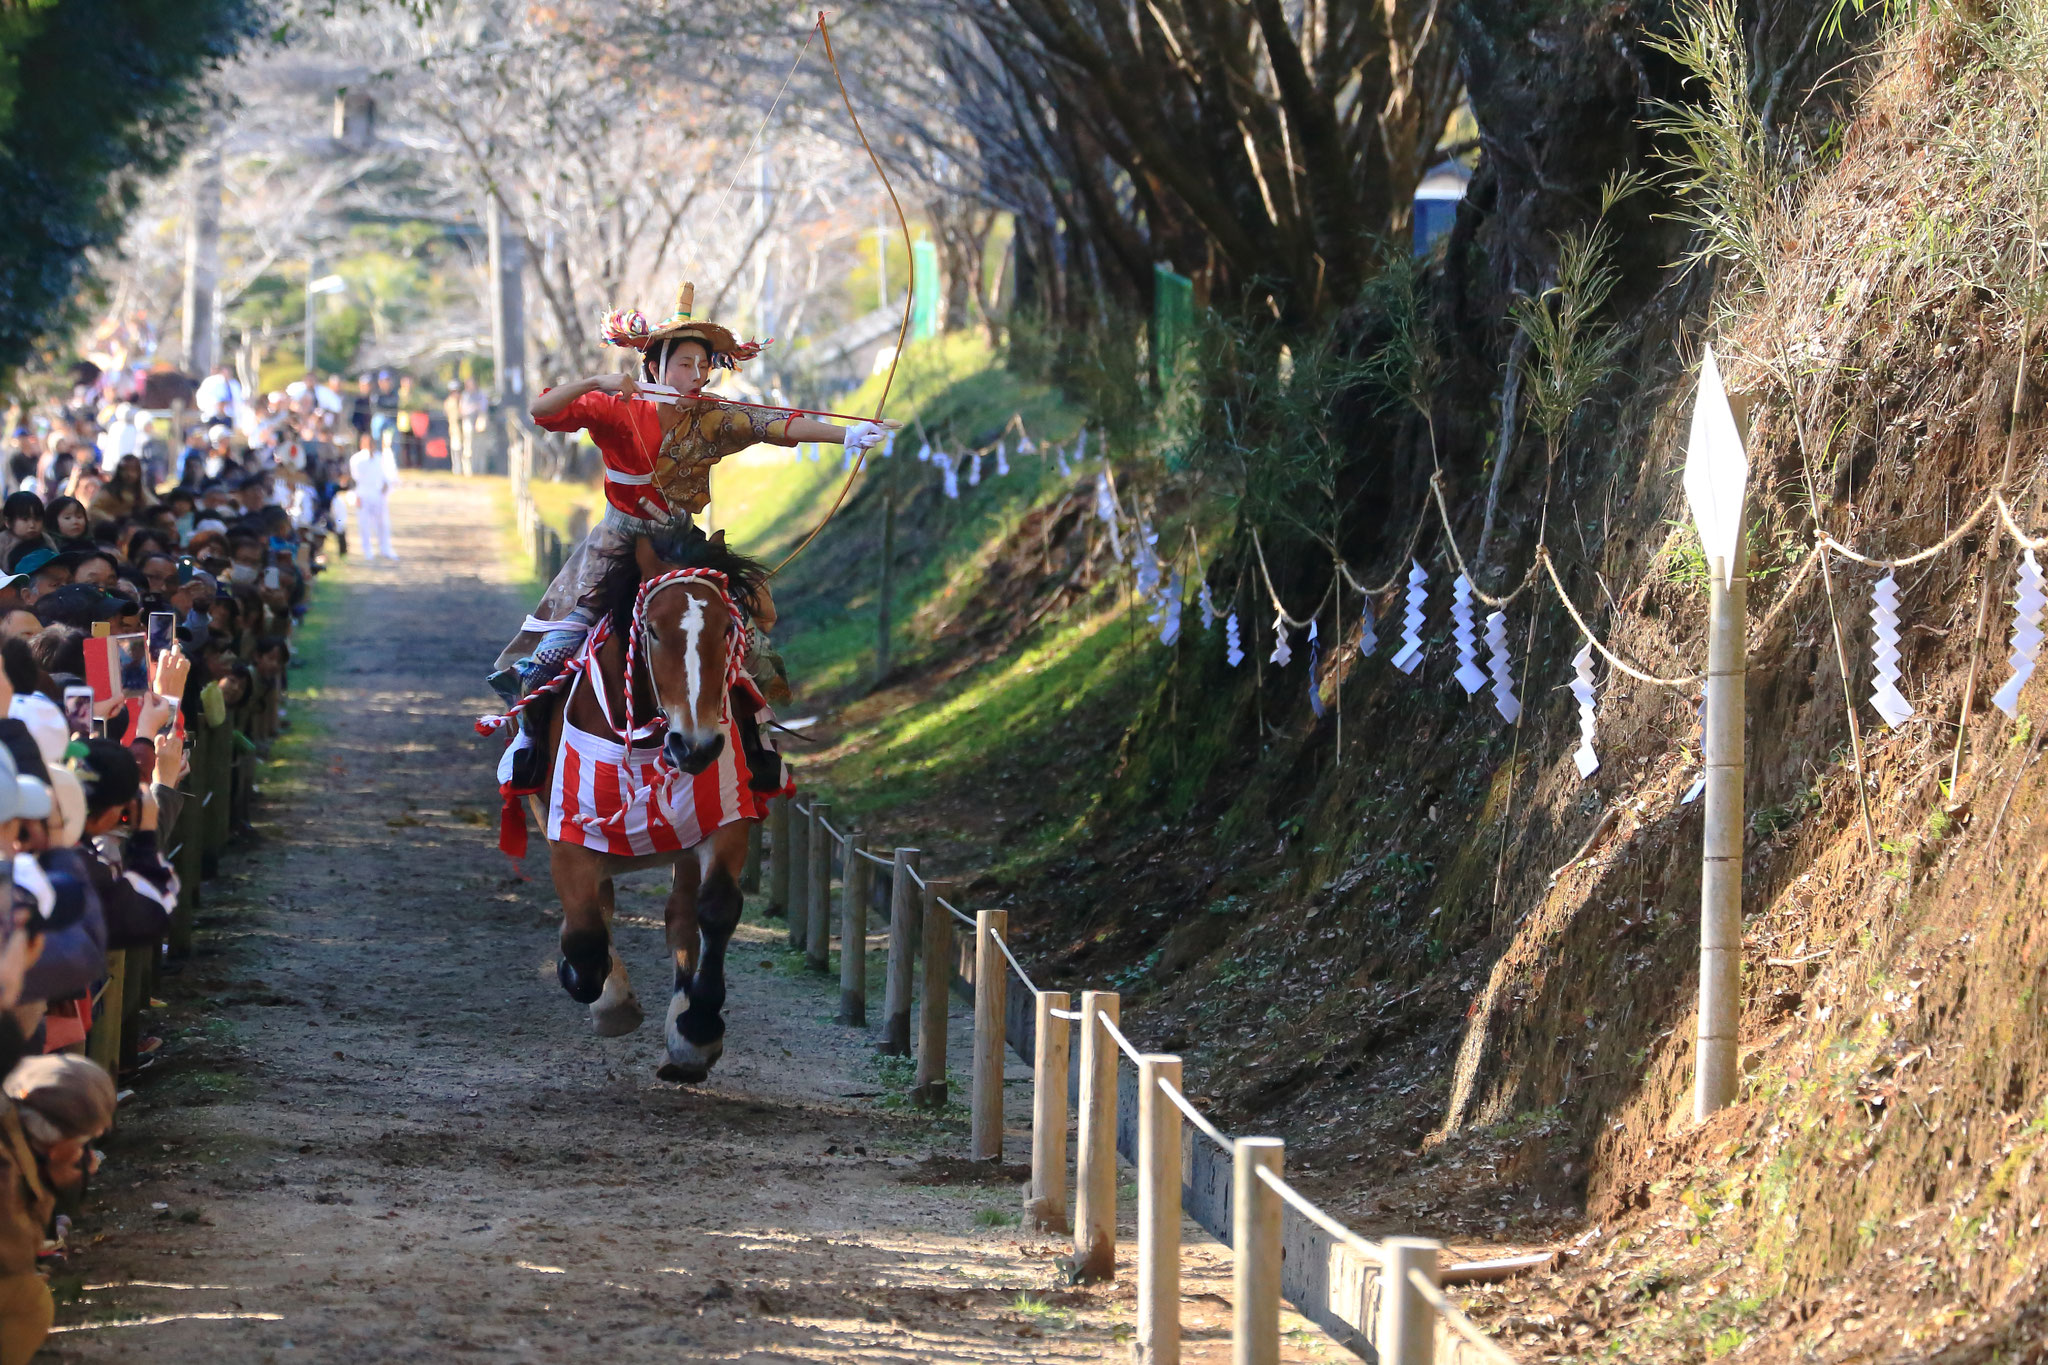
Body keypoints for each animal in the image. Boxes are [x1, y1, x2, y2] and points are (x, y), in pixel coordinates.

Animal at [528, 527, 782, 1080]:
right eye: (654, 631)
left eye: (727, 630)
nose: (696, 745)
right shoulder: (571, 830)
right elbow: (585, 941)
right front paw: (600, 993)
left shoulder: (722, 815)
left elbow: (716, 908)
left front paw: (698, 1028)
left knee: (680, 917)